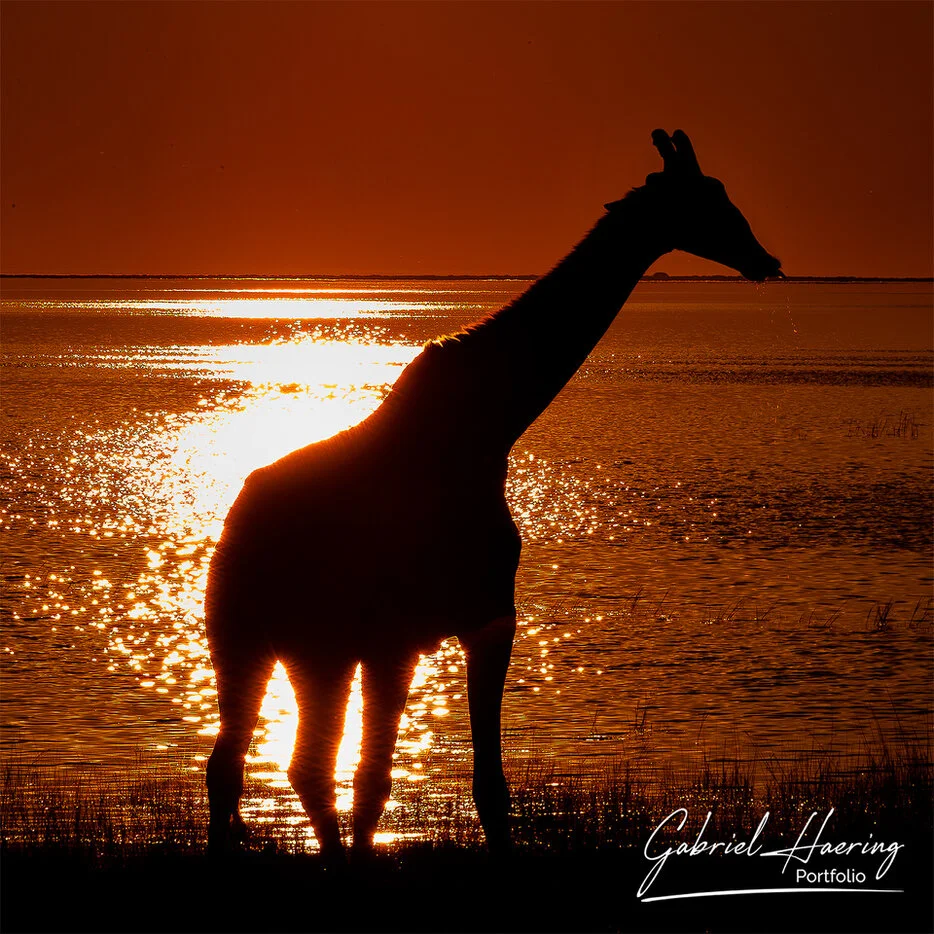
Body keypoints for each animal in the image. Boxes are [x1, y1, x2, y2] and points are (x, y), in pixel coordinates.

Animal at [205, 129, 781, 859]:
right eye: (708, 200)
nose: (767, 259)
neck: (492, 425)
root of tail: (237, 536)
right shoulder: (480, 616)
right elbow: (484, 786)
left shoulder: (403, 639)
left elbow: (378, 780)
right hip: (311, 643)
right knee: (301, 764)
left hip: (247, 639)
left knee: (237, 765)